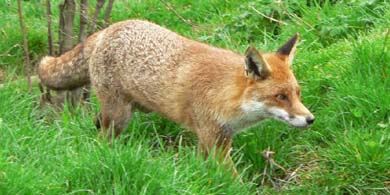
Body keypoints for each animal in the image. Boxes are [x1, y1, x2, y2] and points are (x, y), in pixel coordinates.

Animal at [38, 19, 316, 166]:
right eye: (281, 97)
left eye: (297, 93)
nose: (310, 119)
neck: (226, 95)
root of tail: (110, 28)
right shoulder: (213, 137)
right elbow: (231, 180)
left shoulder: (214, 139)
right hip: (120, 115)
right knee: (103, 137)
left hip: (128, 109)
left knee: (96, 122)